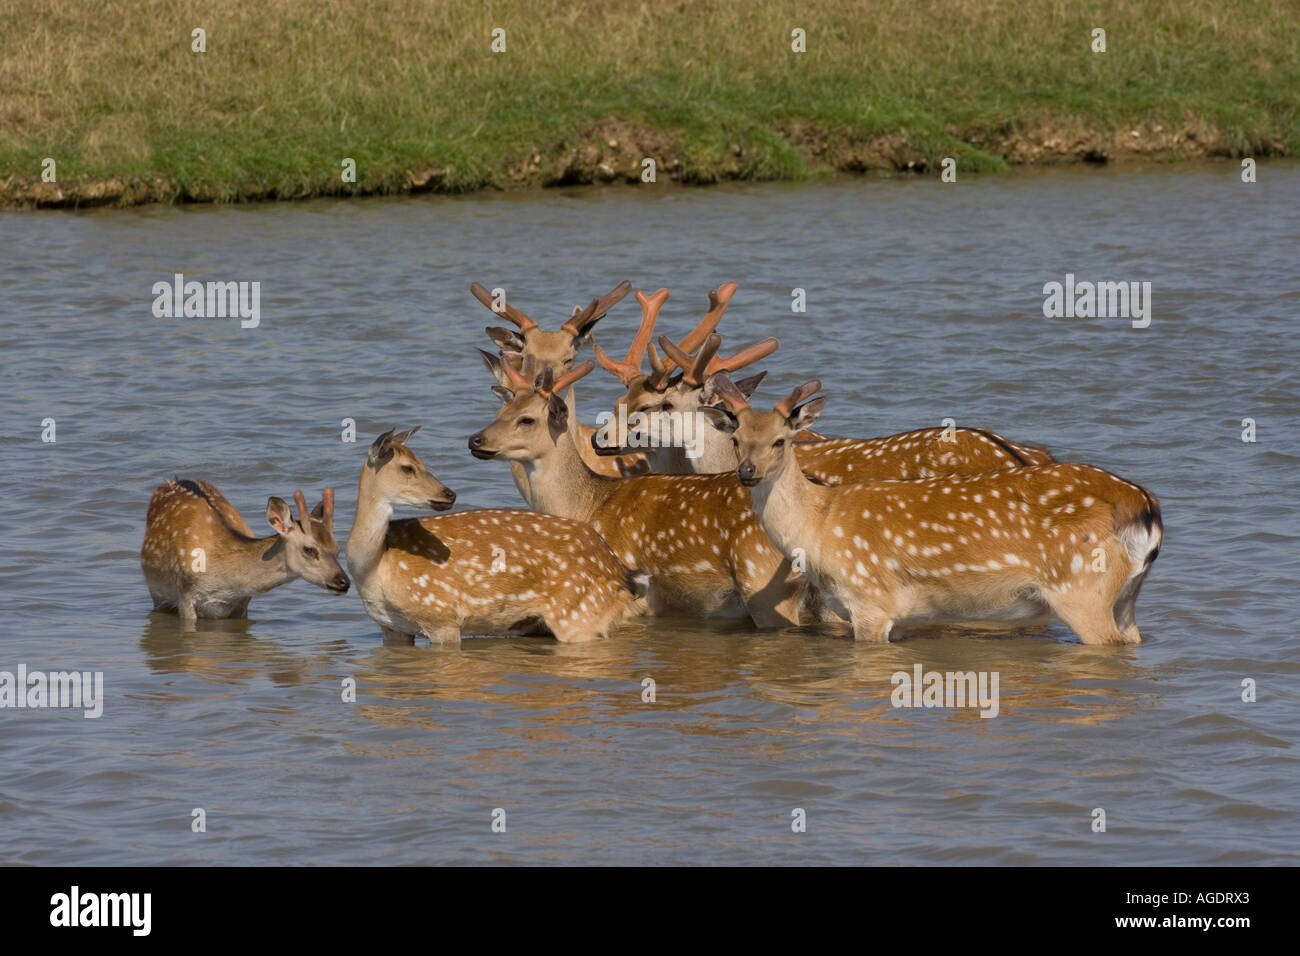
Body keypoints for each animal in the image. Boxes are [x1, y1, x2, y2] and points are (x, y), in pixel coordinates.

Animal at [141, 481, 351, 624]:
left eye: (338, 548)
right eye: (309, 549)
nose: (344, 582)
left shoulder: (241, 603)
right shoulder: (185, 594)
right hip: (157, 593)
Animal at [348, 429, 647, 647]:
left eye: (420, 463)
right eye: (407, 468)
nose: (449, 494)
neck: (375, 567)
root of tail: (622, 573)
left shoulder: (442, 616)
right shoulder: (391, 628)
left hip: (578, 611)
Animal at [702, 377, 1170, 647]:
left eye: (781, 440)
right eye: (738, 438)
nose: (746, 473)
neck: (818, 525)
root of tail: (1145, 505)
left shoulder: (870, 599)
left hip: (1083, 590)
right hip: (1127, 597)